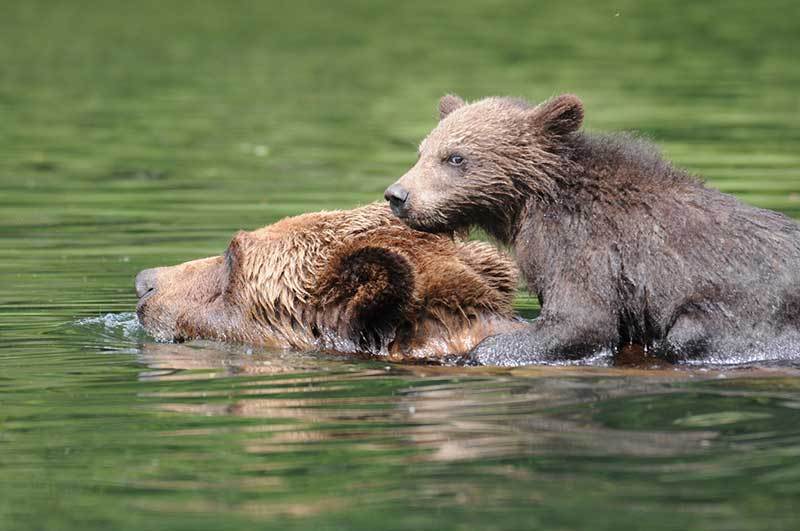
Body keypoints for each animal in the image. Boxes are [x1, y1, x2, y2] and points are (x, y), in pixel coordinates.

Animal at [384, 93, 800, 366]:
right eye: (421, 151)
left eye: (455, 157)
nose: (397, 195)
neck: (529, 204)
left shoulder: (583, 246)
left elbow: (581, 321)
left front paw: (484, 350)